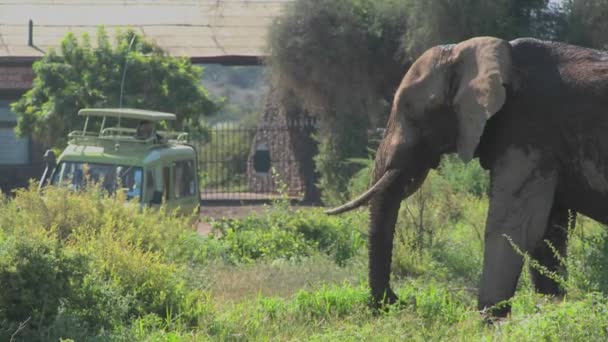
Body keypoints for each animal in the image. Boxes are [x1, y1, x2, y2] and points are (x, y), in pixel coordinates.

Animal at [330, 36, 608, 316]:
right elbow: (548, 231)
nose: (400, 300)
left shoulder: (527, 132)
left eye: (411, 110)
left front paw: (489, 318)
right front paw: (552, 307)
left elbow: (512, 224)